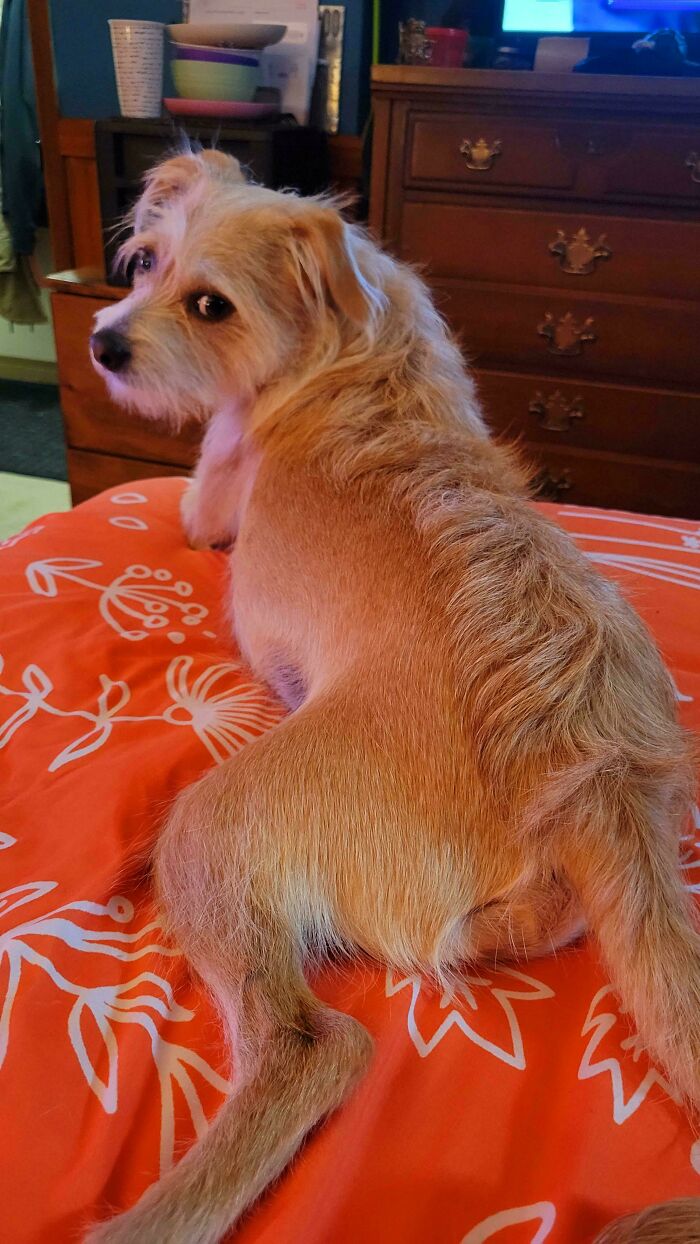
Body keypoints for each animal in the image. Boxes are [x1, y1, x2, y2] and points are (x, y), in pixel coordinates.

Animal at [88, 150, 700, 1239]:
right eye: (147, 261)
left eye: (210, 306)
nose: (103, 343)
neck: (352, 340)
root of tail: (594, 771)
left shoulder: (208, 493)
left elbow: (190, 513)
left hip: (209, 827)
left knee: (312, 1049)